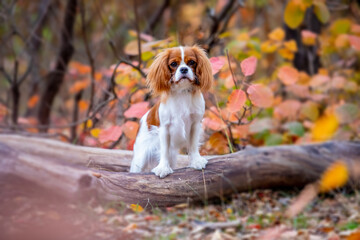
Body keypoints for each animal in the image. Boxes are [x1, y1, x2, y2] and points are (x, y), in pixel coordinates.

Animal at [129, 45, 214, 178]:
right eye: (173, 64)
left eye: (192, 62)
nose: (184, 69)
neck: (182, 92)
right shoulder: (165, 128)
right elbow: (164, 151)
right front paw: (163, 168)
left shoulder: (195, 124)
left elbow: (193, 145)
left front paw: (196, 161)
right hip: (140, 157)